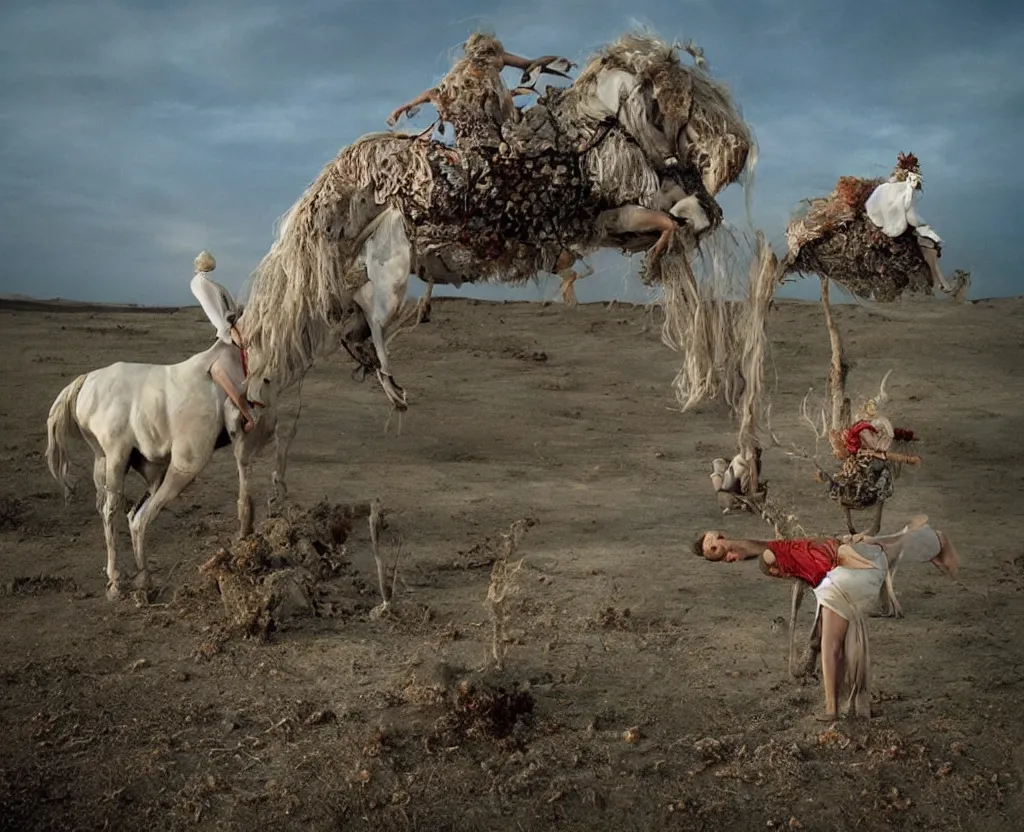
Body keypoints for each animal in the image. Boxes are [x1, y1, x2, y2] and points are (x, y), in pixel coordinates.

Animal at [45, 342, 276, 602]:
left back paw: (138, 577)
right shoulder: (244, 434)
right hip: (124, 460)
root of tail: (84, 382)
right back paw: (120, 581)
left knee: (128, 513)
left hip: (120, 463)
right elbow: (246, 473)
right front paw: (246, 538)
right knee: (119, 513)